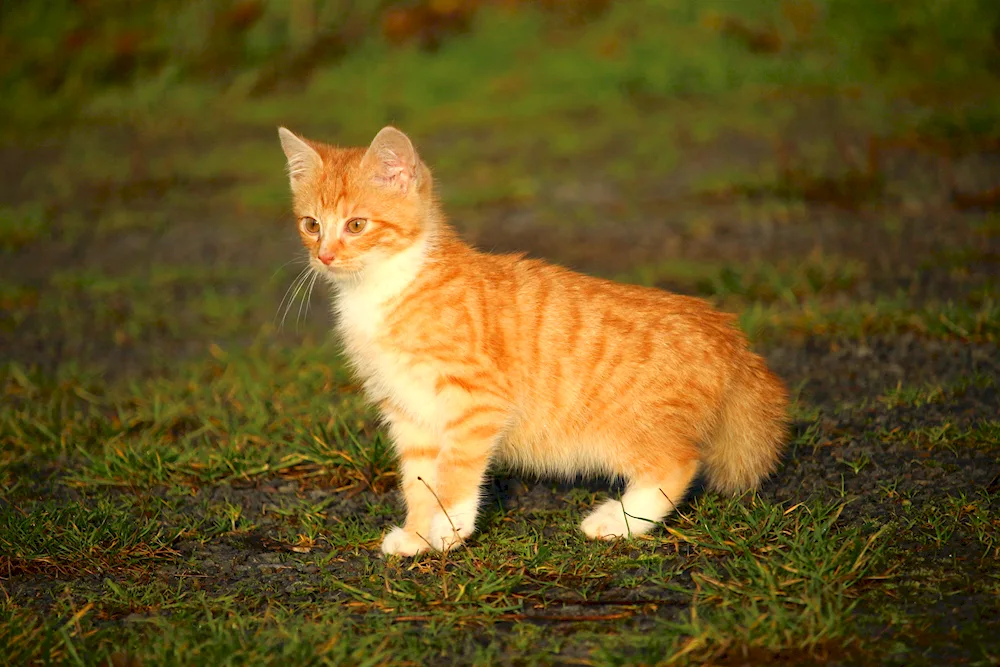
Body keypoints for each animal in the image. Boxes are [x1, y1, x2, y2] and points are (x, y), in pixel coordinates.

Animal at [278, 126, 784, 560]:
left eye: (357, 225)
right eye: (310, 224)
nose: (324, 256)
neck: (386, 286)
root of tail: (727, 331)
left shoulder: (478, 399)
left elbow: (456, 469)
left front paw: (451, 526)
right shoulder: (407, 412)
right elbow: (419, 479)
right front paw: (418, 534)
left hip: (627, 426)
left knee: (678, 464)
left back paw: (618, 521)